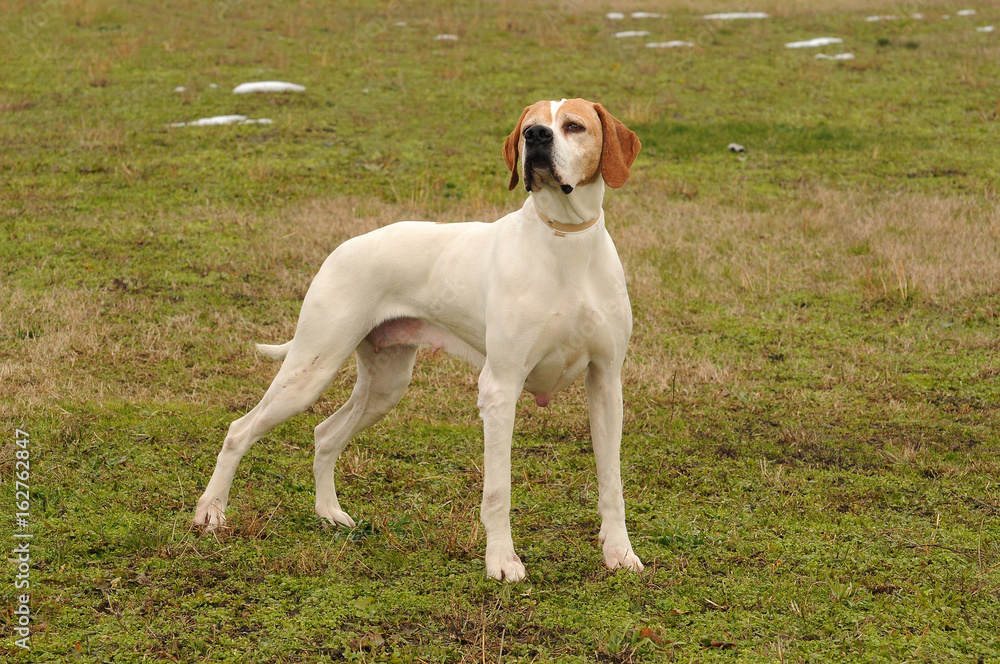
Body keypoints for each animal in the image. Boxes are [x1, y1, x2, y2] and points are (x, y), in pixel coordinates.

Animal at [194, 98, 644, 580]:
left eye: (574, 126)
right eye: (530, 126)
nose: (536, 137)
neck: (564, 238)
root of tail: (341, 248)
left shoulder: (605, 383)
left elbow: (612, 483)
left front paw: (620, 553)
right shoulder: (501, 388)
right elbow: (498, 491)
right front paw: (502, 561)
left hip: (384, 386)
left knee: (325, 433)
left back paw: (329, 513)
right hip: (310, 371)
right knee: (240, 431)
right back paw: (211, 513)